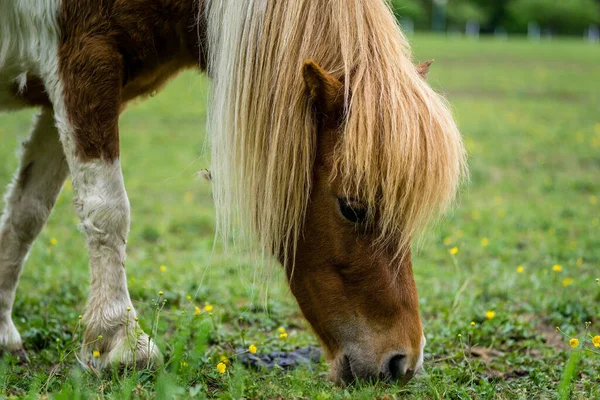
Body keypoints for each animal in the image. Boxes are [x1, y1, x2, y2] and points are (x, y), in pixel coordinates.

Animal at [0, 0, 466, 384]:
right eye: (352, 208)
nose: (402, 362)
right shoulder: (81, 62)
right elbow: (106, 209)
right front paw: (120, 341)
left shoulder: (61, 89)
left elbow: (27, 211)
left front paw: (3, 331)